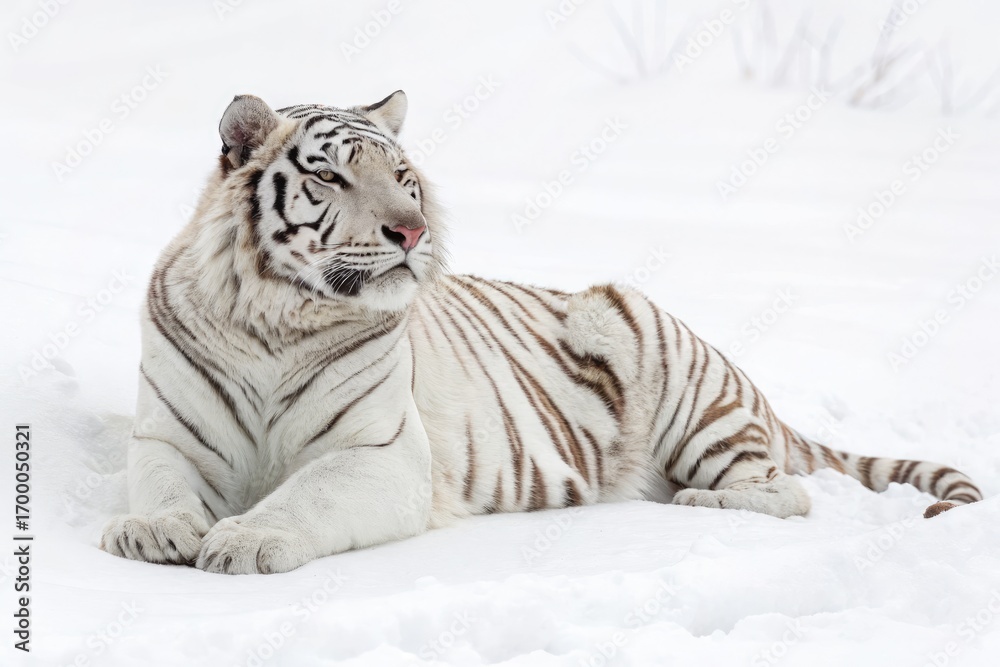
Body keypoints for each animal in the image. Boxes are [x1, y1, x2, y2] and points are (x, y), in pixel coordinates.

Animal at [100, 90, 983, 575]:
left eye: (403, 176)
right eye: (330, 174)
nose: (412, 230)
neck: (274, 318)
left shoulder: (380, 453)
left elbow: (304, 495)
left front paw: (245, 540)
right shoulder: (169, 435)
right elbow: (163, 485)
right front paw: (151, 530)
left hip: (687, 393)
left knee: (785, 490)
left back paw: (697, 501)